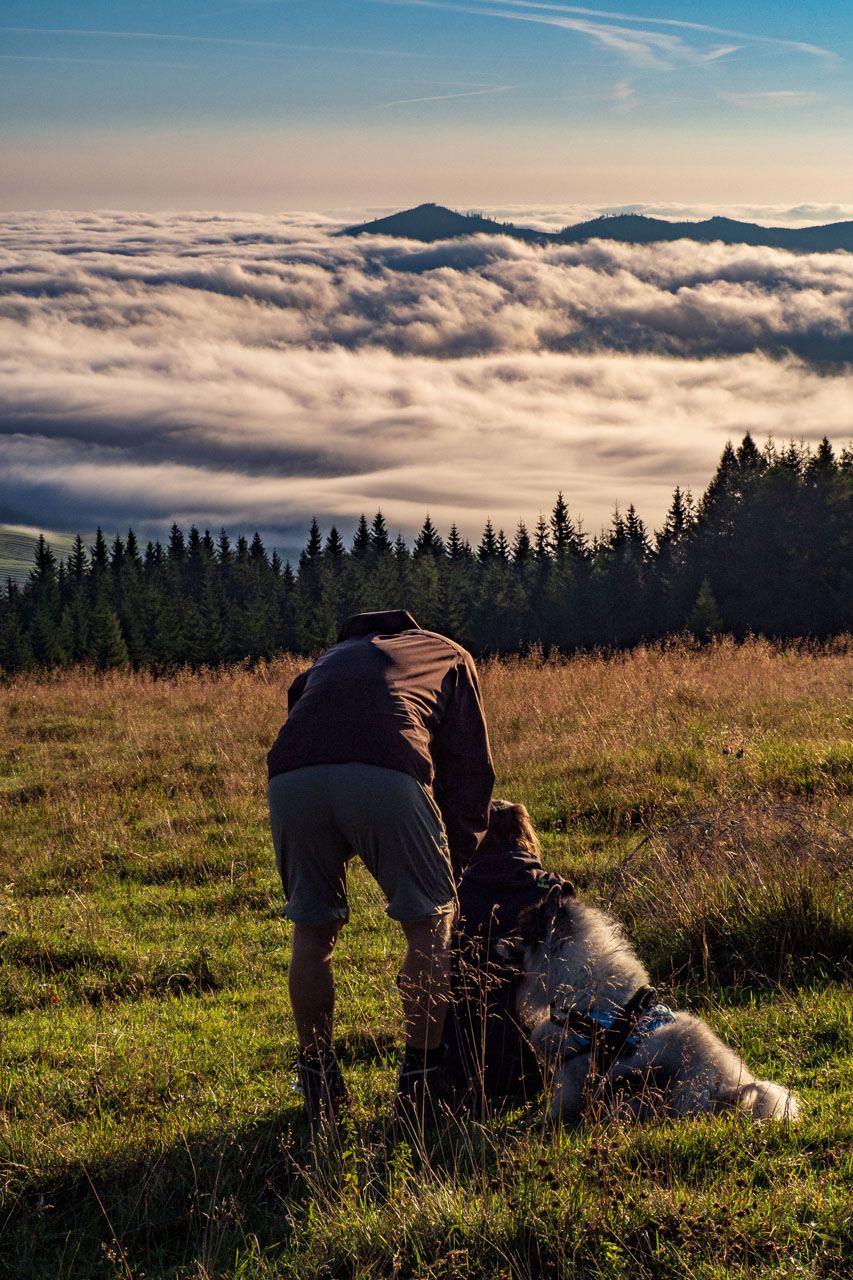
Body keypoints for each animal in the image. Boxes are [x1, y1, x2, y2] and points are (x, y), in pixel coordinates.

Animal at [499, 885, 799, 1126]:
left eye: (520, 932)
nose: (496, 943)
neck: (583, 978)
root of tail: (722, 1091)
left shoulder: (574, 1063)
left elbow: (562, 1100)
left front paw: (546, 1122)